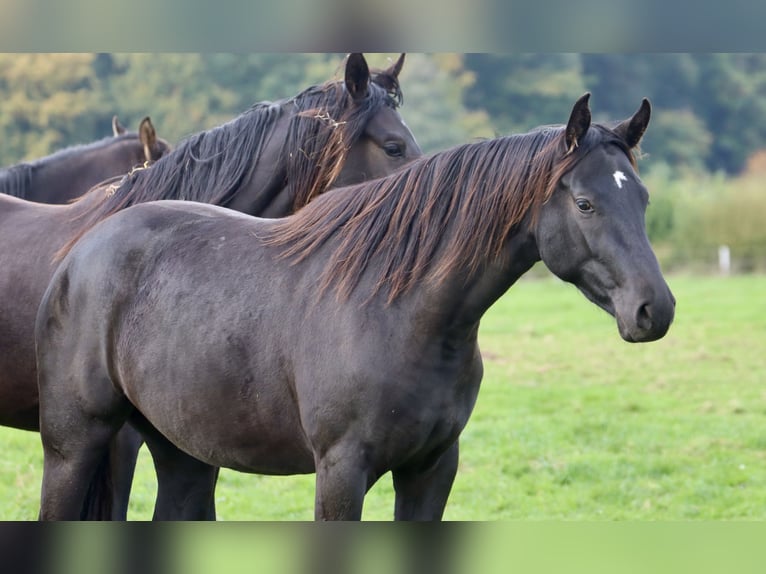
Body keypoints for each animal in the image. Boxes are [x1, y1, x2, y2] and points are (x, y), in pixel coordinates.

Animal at [34, 93, 672, 520]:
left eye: (641, 197)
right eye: (585, 203)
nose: (654, 310)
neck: (402, 314)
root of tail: (81, 248)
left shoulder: (432, 470)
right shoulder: (342, 472)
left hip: (182, 453)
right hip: (74, 448)